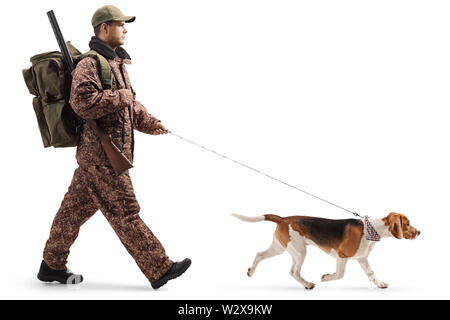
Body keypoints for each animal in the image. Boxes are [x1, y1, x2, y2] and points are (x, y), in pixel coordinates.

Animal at [234, 212, 420, 290]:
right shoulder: (342, 256)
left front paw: (380, 284)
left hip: (280, 247)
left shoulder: (362, 258)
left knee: (259, 254)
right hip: (300, 251)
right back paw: (307, 284)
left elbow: (371, 273)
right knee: (293, 272)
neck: (371, 229)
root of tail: (283, 219)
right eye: (407, 224)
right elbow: (339, 275)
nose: (419, 232)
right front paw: (326, 277)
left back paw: (251, 271)